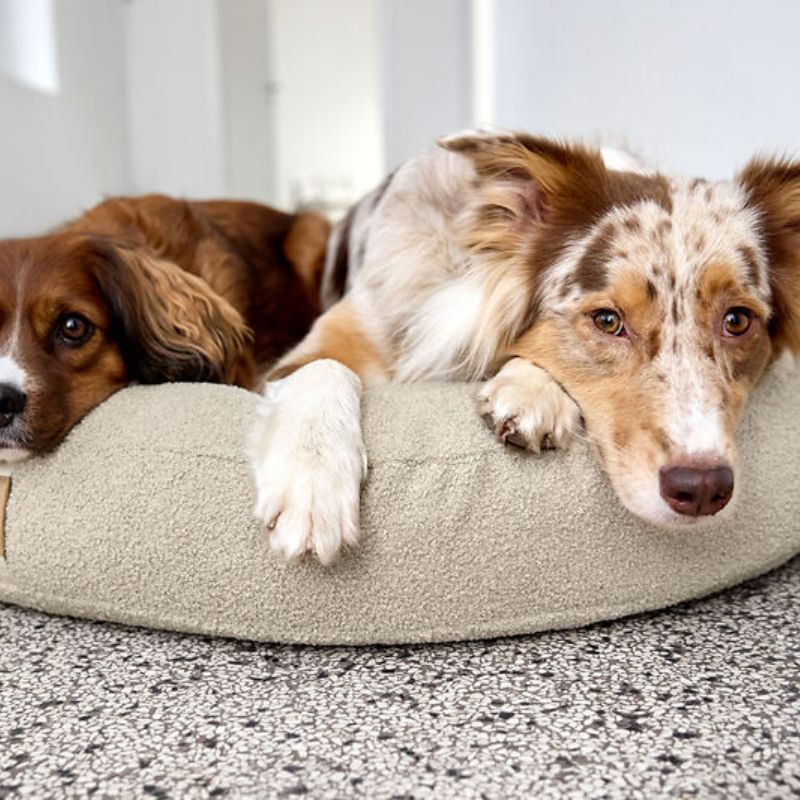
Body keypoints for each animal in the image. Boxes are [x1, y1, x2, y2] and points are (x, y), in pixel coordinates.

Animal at [249, 131, 800, 564]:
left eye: (737, 321)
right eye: (608, 320)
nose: (703, 490)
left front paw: (532, 392)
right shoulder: (304, 355)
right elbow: (324, 368)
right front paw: (313, 485)